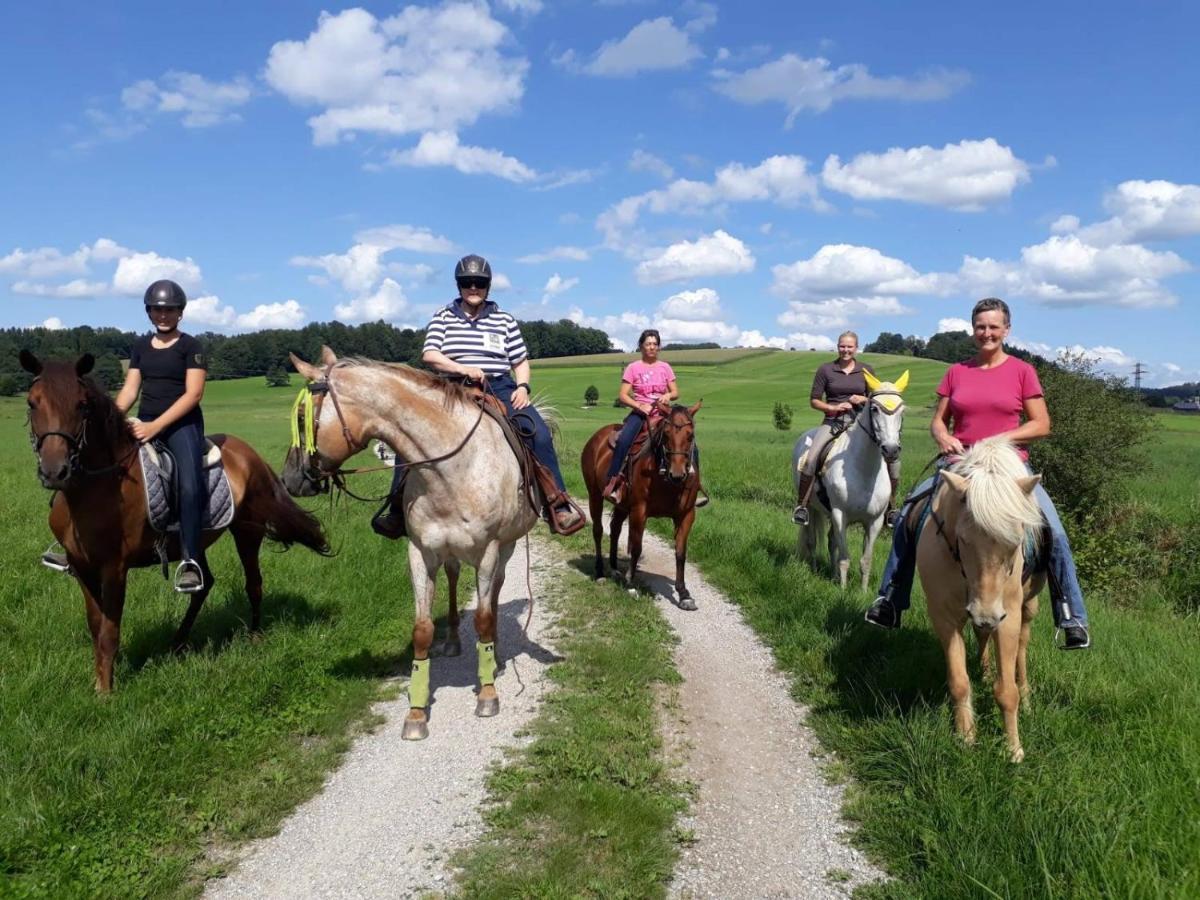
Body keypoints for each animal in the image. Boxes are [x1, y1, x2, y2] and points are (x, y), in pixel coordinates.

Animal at [22, 348, 333, 696]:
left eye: (81, 405)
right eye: (32, 403)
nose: (54, 471)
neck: (97, 488)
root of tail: (248, 453)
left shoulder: (114, 568)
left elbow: (109, 630)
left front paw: (105, 693)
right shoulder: (81, 567)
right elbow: (95, 625)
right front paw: (98, 681)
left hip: (247, 531)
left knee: (253, 583)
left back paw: (253, 637)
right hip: (196, 543)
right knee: (202, 583)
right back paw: (177, 644)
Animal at [280, 348, 540, 744]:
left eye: (300, 417)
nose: (289, 479)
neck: (452, 470)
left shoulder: (489, 550)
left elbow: (482, 617)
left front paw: (487, 693)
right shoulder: (420, 553)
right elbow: (421, 629)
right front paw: (416, 713)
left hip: (506, 546)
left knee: (494, 592)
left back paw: (493, 654)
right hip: (450, 553)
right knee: (453, 578)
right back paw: (453, 641)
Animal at [580, 403, 700, 609]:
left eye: (690, 435)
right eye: (665, 434)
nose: (677, 474)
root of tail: (596, 438)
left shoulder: (686, 515)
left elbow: (680, 552)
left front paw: (684, 593)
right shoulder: (639, 511)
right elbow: (636, 547)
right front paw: (630, 584)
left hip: (621, 505)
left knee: (615, 529)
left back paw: (614, 569)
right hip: (594, 495)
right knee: (598, 530)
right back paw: (600, 572)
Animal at [787, 372, 907, 592]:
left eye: (902, 410)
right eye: (874, 409)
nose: (891, 450)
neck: (864, 471)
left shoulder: (874, 521)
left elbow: (865, 560)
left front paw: (862, 592)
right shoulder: (840, 514)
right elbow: (844, 557)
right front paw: (842, 591)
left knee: (830, 541)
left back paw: (833, 575)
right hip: (812, 508)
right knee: (812, 541)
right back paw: (815, 569)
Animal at [912, 441, 1046, 763]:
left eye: (1015, 542)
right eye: (963, 538)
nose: (986, 613)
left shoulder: (1007, 616)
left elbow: (1007, 689)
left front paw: (1014, 749)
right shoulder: (945, 617)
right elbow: (959, 682)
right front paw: (966, 738)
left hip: (1028, 608)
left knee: (1022, 649)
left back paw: (1027, 699)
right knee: (983, 635)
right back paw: (984, 672)